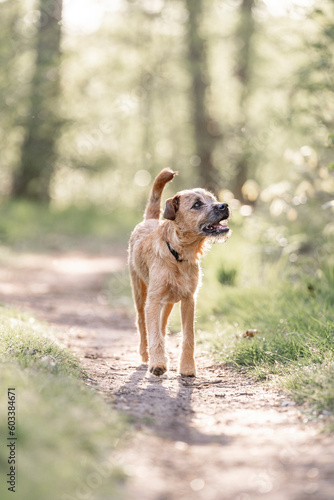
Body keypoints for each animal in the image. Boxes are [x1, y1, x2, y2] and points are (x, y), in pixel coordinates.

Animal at [127, 170, 230, 376]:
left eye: (213, 199)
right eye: (197, 204)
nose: (224, 205)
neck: (178, 255)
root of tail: (149, 220)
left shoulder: (189, 301)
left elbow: (188, 336)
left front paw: (187, 367)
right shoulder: (153, 300)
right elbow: (153, 334)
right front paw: (157, 363)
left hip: (168, 303)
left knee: (162, 326)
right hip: (140, 294)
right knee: (142, 324)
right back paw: (145, 354)